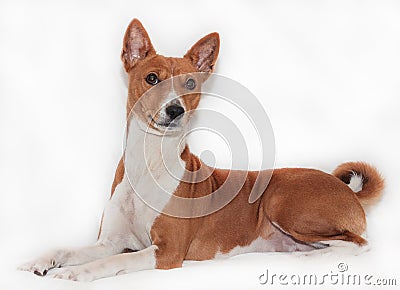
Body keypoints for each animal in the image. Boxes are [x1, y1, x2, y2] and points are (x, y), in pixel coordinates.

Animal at [18, 18, 384, 280]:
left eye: (190, 84)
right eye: (152, 78)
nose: (175, 110)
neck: (149, 162)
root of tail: (342, 186)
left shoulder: (166, 252)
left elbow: (106, 264)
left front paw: (75, 273)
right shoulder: (111, 242)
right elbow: (68, 249)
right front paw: (43, 260)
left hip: (282, 201)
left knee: (360, 245)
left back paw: (317, 256)